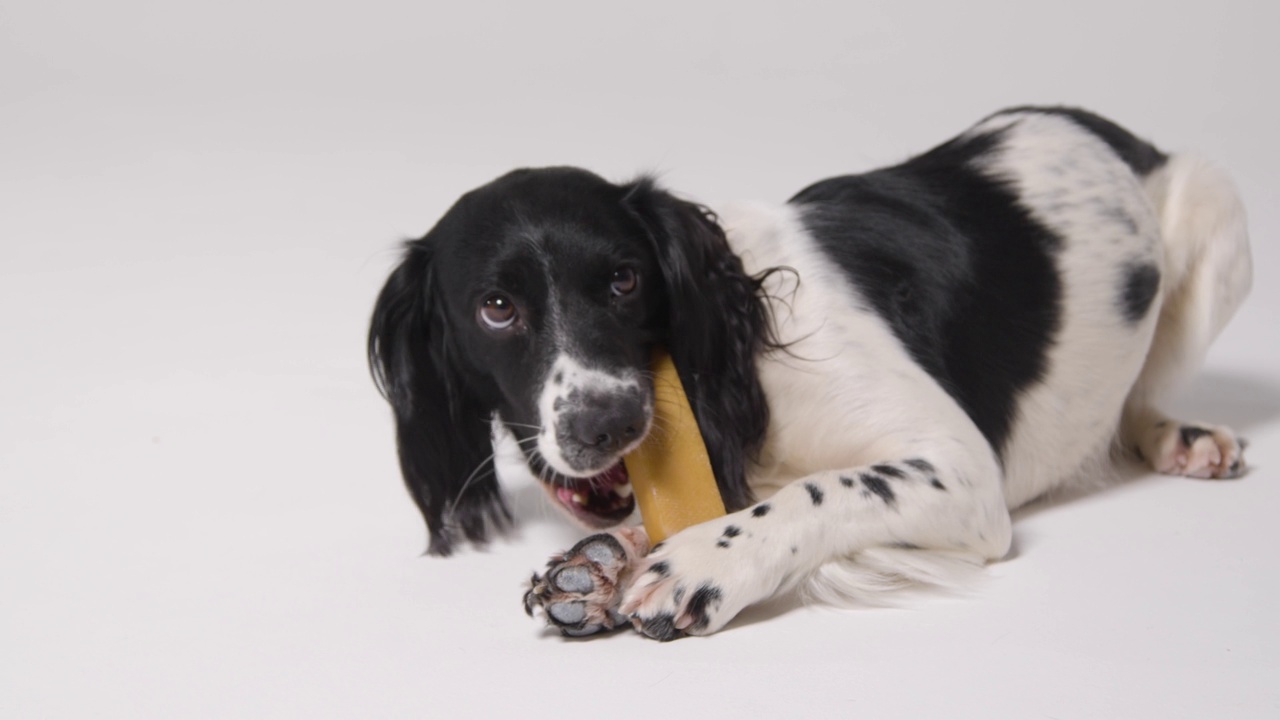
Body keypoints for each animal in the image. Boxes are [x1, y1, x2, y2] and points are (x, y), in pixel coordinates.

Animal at [368, 106, 1249, 638]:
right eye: (496, 308)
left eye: (624, 280)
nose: (607, 423)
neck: (741, 365)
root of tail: (1106, 129)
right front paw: (607, 560)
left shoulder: (963, 470)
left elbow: (817, 492)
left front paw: (703, 561)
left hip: (1215, 215)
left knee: (1144, 392)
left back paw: (1182, 436)